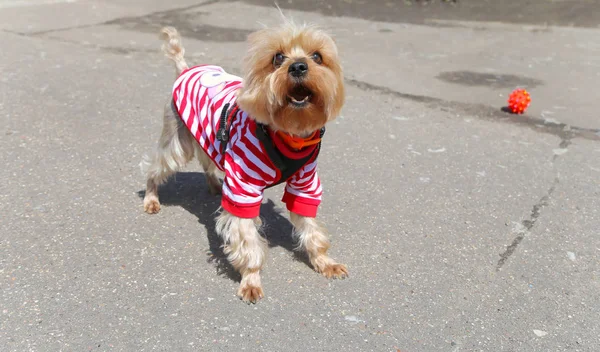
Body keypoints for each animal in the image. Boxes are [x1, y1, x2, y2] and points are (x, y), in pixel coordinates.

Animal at [142, 22, 346, 302]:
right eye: (277, 58)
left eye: (317, 56)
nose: (298, 66)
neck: (287, 132)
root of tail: (185, 69)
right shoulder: (243, 186)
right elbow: (248, 239)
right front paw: (251, 280)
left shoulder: (305, 183)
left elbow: (312, 227)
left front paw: (324, 261)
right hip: (177, 140)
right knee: (156, 166)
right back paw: (151, 199)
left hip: (206, 136)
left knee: (207, 160)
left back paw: (215, 186)